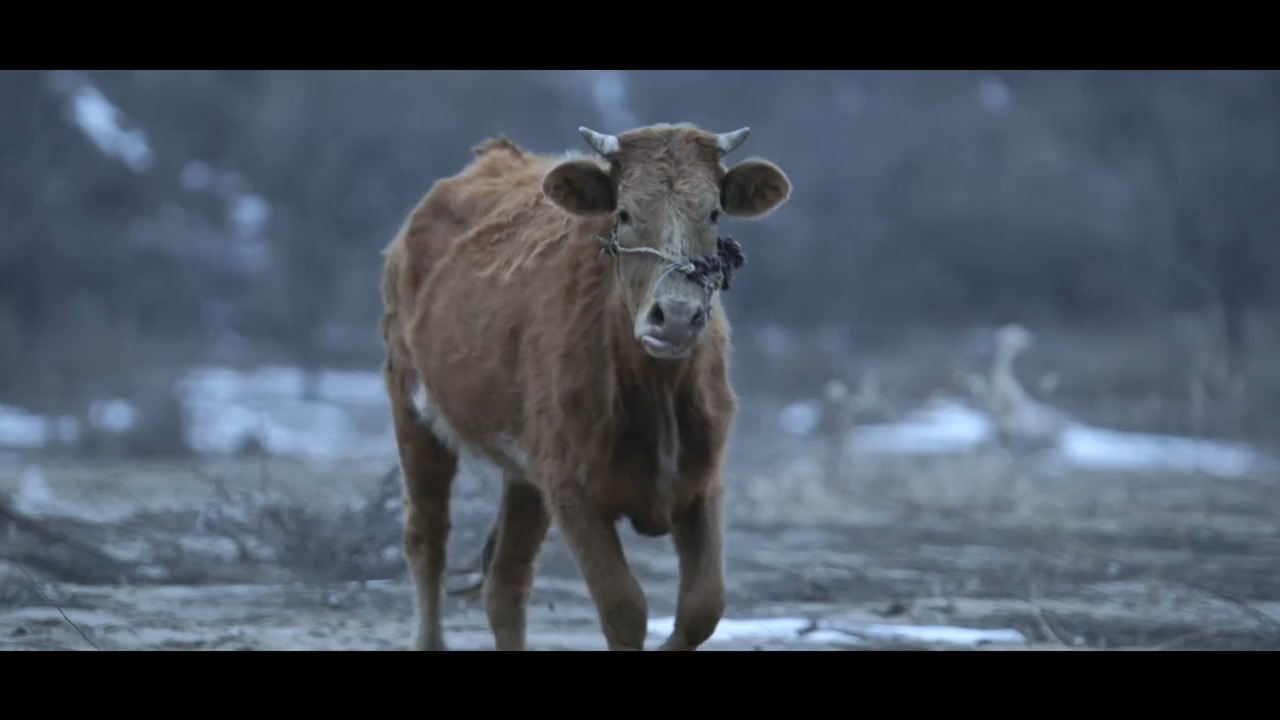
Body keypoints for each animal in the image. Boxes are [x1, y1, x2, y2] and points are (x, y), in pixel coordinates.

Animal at [373, 120, 783, 648]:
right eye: (623, 213)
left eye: (713, 212)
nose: (675, 317)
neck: (656, 392)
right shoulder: (572, 489)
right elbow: (624, 608)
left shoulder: (702, 480)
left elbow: (703, 606)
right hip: (412, 408)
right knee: (427, 540)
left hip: (524, 470)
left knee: (506, 584)